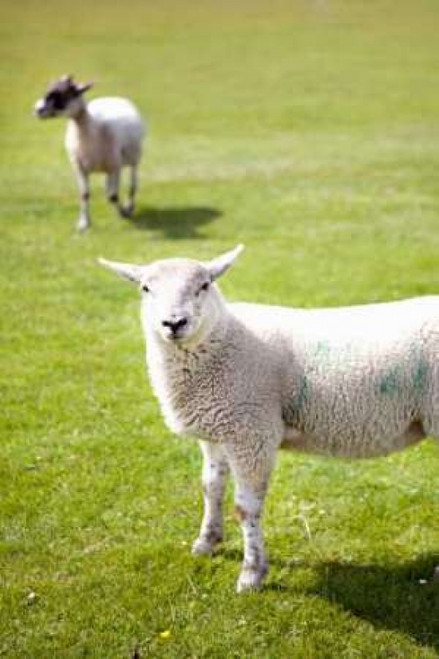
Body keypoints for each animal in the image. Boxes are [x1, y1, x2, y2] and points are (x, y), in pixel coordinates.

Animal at [34, 75, 145, 231]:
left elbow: (114, 196)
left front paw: (123, 213)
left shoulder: (115, 166)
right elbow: (84, 194)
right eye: (48, 90)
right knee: (109, 187)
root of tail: (112, 97)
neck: (93, 128)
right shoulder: (80, 167)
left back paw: (130, 206)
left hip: (133, 159)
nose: (38, 109)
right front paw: (84, 223)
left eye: (65, 94)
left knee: (132, 185)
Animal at [98, 246, 439, 592]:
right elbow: (211, 486)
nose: (174, 322)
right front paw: (207, 542)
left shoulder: (252, 431)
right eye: (145, 288)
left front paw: (251, 573)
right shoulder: (217, 430)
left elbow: (245, 507)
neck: (224, 340)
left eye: (204, 285)